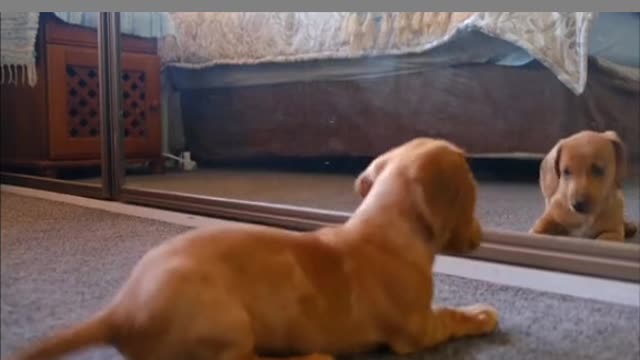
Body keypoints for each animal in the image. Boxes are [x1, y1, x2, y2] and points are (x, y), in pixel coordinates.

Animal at [10, 138, 498, 360]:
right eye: (474, 195)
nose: (480, 235)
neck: (384, 227)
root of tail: (121, 312)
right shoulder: (416, 331)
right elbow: (449, 317)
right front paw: (480, 314)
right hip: (228, 325)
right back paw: (313, 357)